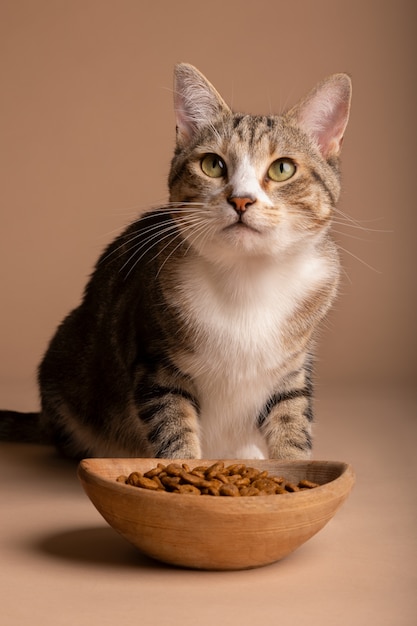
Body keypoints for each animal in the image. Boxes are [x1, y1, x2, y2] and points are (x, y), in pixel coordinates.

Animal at [0, 64, 352, 458]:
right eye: (213, 164)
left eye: (282, 169)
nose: (241, 200)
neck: (247, 277)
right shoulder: (158, 366)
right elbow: (173, 430)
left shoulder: (291, 372)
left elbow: (292, 422)